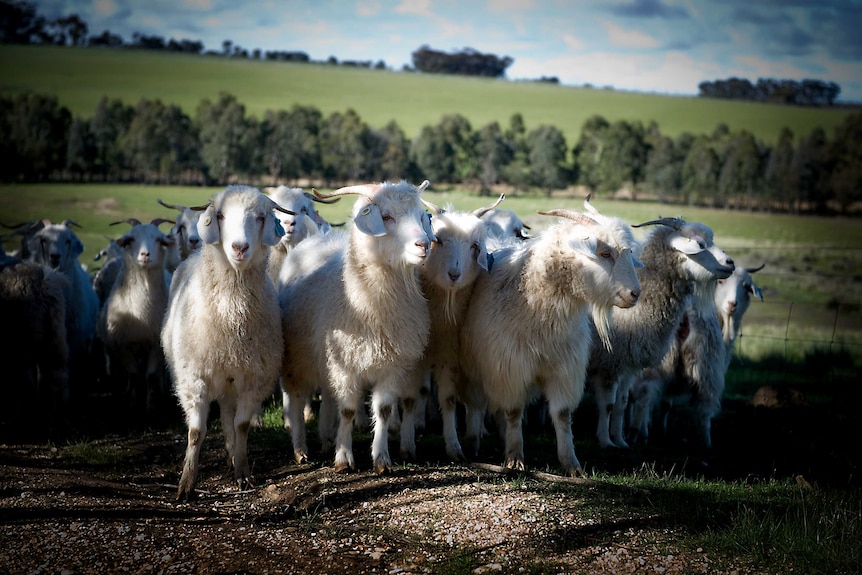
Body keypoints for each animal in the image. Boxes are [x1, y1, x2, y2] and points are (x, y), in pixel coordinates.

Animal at [99, 219, 176, 414]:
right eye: (130, 239)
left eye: (159, 239)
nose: (145, 254)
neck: (142, 311)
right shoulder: (122, 345)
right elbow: (133, 374)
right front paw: (133, 403)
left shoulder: (156, 344)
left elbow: (150, 375)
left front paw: (151, 405)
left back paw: (163, 390)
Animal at [162, 186, 294, 500]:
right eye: (220, 215)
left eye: (260, 217)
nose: (239, 248)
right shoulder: (193, 378)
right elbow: (196, 432)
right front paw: (186, 482)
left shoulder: (253, 378)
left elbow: (241, 425)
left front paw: (242, 472)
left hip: (230, 382)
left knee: (227, 418)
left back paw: (232, 455)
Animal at [278, 179, 436, 472]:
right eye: (386, 216)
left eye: (421, 216)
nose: (423, 245)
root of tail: (318, 236)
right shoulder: (346, 366)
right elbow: (348, 410)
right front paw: (343, 457)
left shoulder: (392, 365)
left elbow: (383, 410)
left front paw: (381, 458)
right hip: (298, 358)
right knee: (295, 398)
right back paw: (300, 448)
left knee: (328, 395)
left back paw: (325, 437)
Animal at [460, 198, 640, 476]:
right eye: (605, 254)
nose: (635, 293)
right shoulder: (510, 366)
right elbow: (514, 411)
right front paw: (515, 458)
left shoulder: (564, 368)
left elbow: (563, 415)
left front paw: (571, 463)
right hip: (476, 363)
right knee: (476, 404)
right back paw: (473, 440)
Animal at [592, 218, 740, 452]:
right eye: (700, 244)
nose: (730, 263)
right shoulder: (610, 364)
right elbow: (608, 405)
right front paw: (606, 442)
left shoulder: (627, 366)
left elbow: (621, 404)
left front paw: (620, 440)